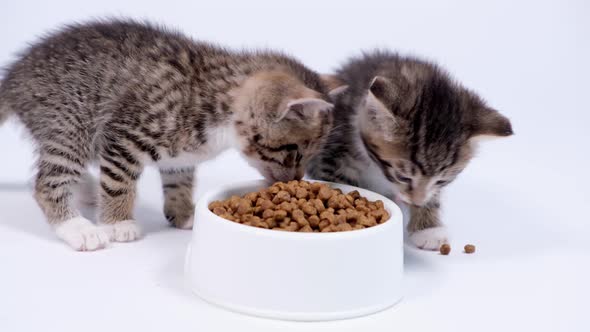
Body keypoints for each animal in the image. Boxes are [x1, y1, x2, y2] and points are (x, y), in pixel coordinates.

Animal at [0, 20, 332, 252]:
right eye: (295, 152)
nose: (296, 180)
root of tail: (14, 76)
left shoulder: (181, 156)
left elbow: (179, 181)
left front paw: (183, 212)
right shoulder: (124, 136)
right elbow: (118, 184)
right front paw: (118, 222)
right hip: (69, 123)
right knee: (48, 180)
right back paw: (77, 228)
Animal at [310, 51, 512, 249]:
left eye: (441, 181)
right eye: (403, 177)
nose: (417, 201)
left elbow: (433, 196)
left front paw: (428, 228)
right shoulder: (335, 151)